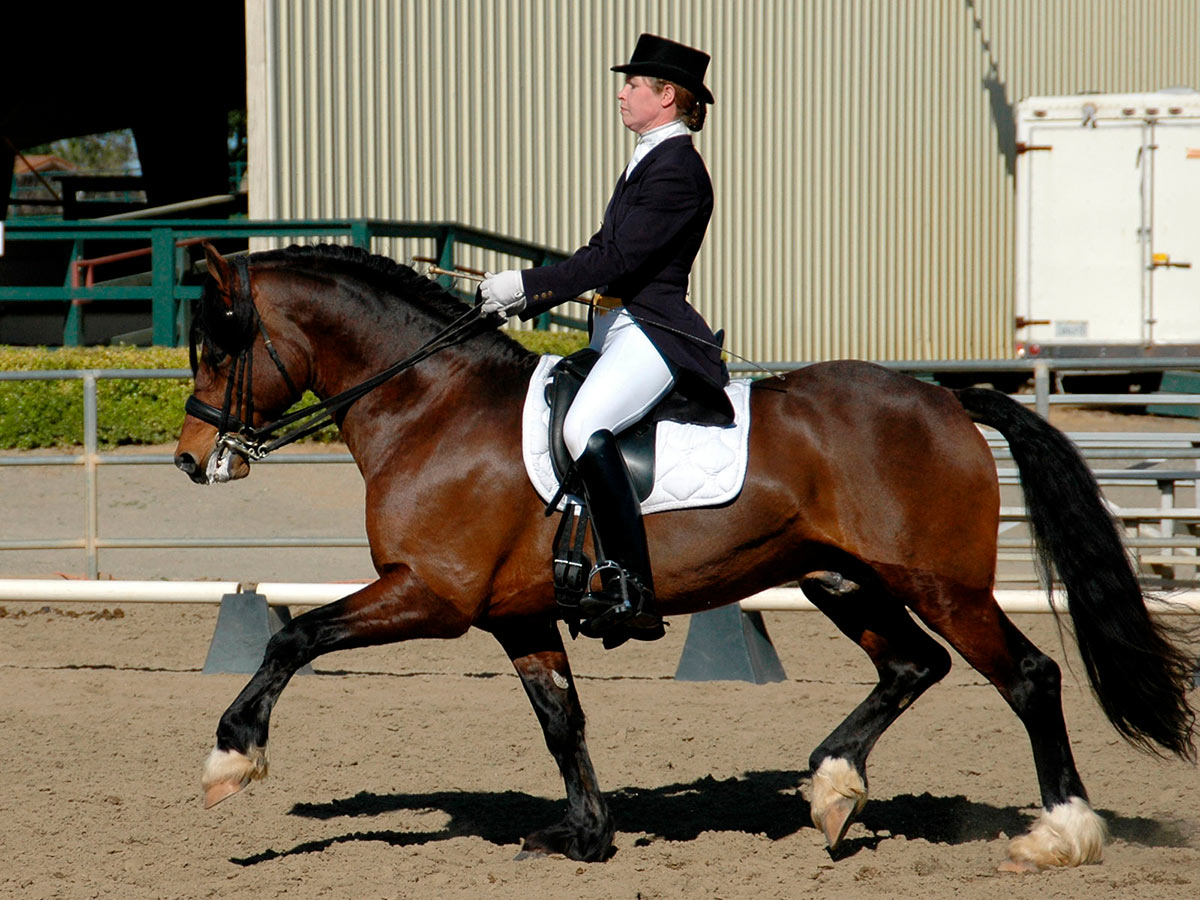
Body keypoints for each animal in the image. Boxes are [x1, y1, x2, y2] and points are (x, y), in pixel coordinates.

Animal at [174, 244, 1195, 873]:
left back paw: (1059, 834)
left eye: (219, 343)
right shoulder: (515, 613)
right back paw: (833, 788)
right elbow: (562, 722)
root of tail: (946, 398)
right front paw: (585, 836)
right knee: (912, 665)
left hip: (938, 581)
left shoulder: (432, 595)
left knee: (1026, 676)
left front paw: (229, 758)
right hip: (839, 577)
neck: (432, 407)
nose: (190, 458)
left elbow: (294, 638)